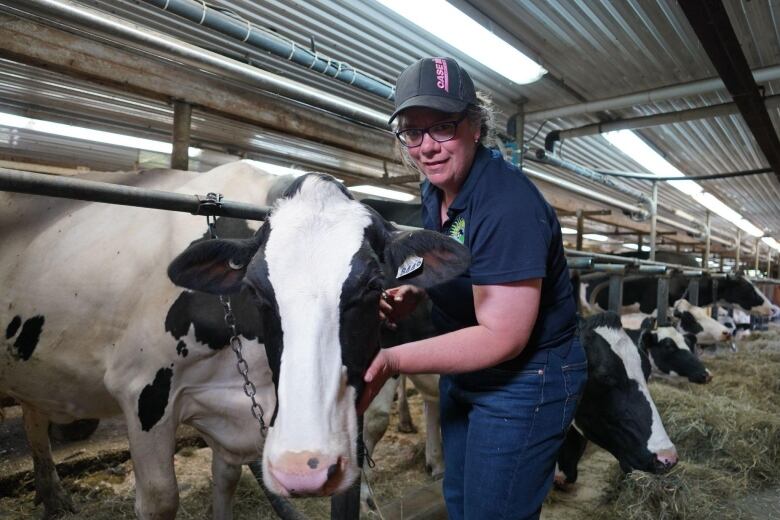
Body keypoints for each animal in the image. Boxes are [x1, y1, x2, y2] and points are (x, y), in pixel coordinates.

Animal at [1, 166, 470, 520]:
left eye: (374, 286)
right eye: (255, 289)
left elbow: (225, 477)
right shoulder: (142, 392)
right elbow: (160, 500)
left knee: (33, 412)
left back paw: (52, 494)